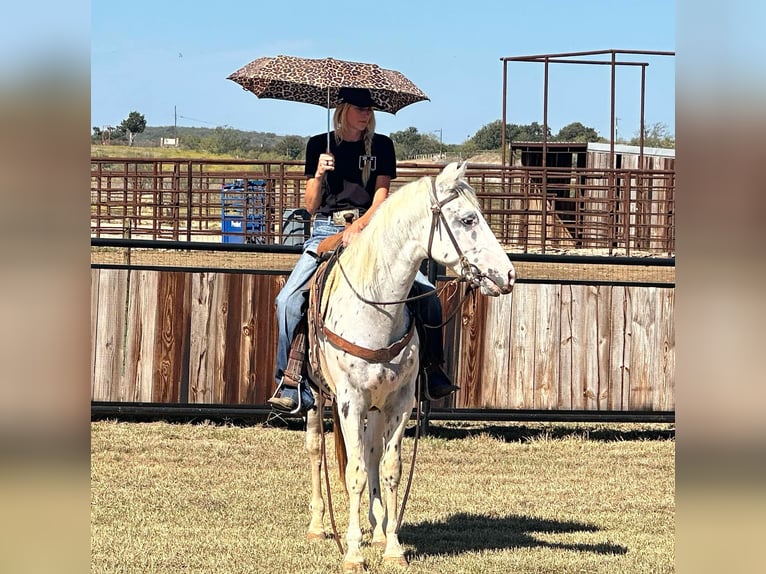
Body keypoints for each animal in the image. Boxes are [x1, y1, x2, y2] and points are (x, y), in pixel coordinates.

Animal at [303, 161, 516, 573]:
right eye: (468, 219)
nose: (508, 275)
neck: (375, 309)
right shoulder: (350, 401)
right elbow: (353, 473)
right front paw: (353, 554)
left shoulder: (400, 402)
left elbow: (388, 469)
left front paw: (393, 547)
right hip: (316, 398)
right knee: (317, 450)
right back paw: (319, 525)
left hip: (376, 407)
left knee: (371, 453)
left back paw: (377, 527)